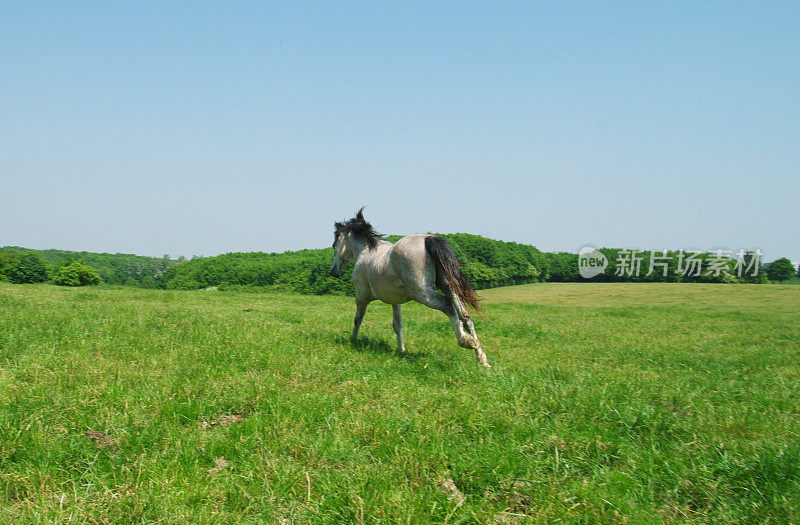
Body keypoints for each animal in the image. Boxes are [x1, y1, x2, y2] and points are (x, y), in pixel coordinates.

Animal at [328, 207, 490, 366]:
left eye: (334, 245)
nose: (333, 271)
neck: (365, 251)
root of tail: (428, 239)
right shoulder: (395, 301)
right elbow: (397, 325)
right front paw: (401, 350)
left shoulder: (361, 297)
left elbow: (358, 319)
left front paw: (353, 340)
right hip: (448, 286)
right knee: (465, 315)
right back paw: (481, 357)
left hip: (422, 293)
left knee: (448, 305)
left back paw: (465, 341)